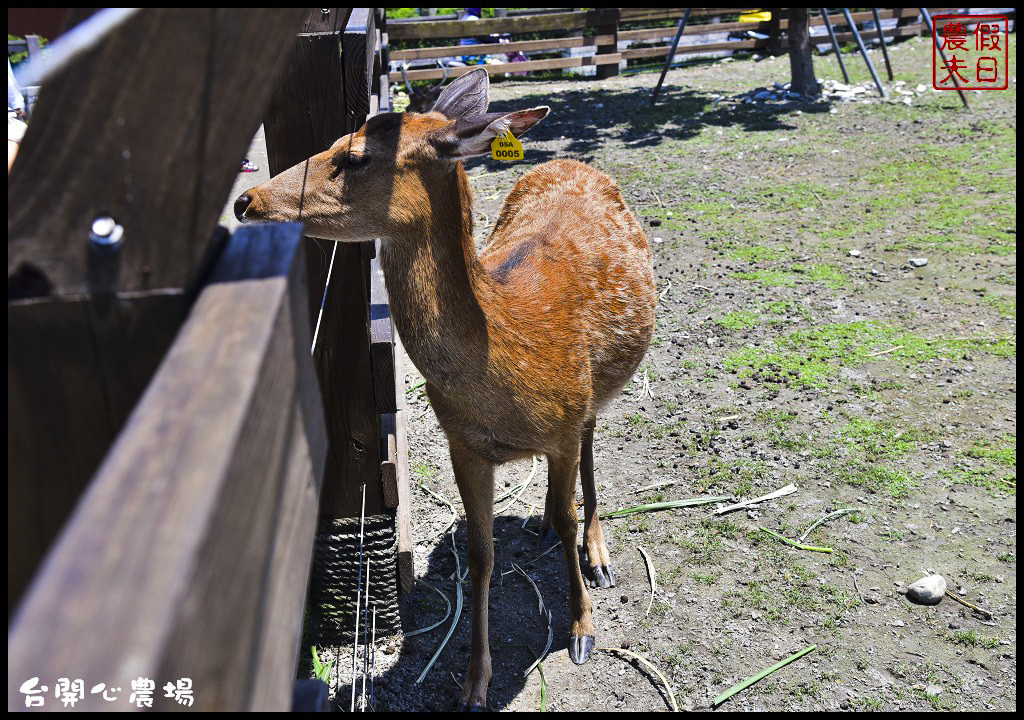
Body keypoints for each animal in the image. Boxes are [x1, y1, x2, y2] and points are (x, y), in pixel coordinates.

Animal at [234, 70, 655, 712]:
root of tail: (573, 162)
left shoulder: (560, 422)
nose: (246, 200)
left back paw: (598, 554)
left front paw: (582, 629)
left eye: (354, 156)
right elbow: (479, 554)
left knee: (589, 440)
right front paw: (473, 681)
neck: (506, 357)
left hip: (595, 390)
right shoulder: (463, 443)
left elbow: (564, 513)